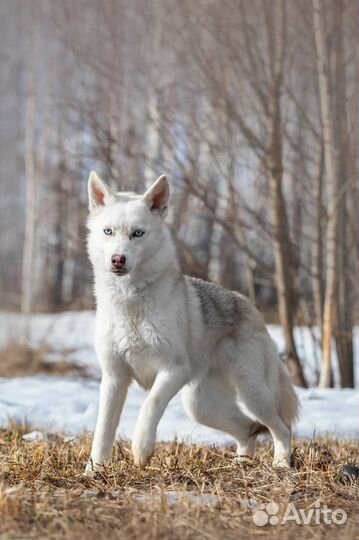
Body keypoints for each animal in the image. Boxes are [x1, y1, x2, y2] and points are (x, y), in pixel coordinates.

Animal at [84, 172, 298, 472]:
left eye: (138, 233)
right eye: (108, 232)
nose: (118, 259)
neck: (131, 301)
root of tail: (249, 305)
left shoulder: (174, 371)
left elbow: (150, 406)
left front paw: (140, 451)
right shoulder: (113, 377)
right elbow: (103, 431)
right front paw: (93, 471)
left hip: (250, 394)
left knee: (281, 427)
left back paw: (280, 465)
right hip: (202, 407)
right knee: (249, 430)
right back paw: (238, 465)